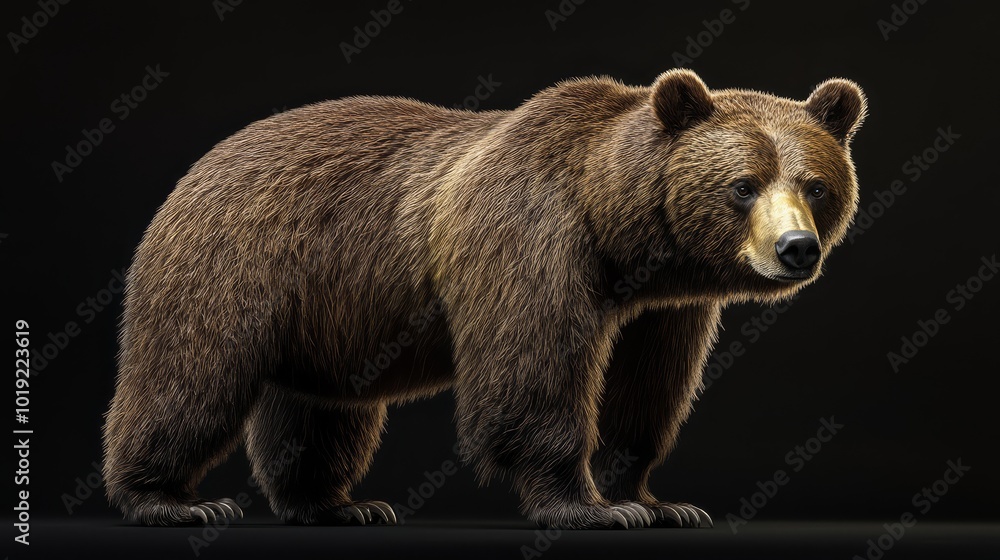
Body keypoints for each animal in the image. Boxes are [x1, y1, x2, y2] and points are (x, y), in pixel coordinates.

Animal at [102, 69, 865, 530]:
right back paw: (171, 500)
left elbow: (645, 388)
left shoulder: (663, 307)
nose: (796, 248)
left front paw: (656, 499)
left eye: (816, 185)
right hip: (233, 264)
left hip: (326, 310)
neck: (618, 232)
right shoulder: (530, 238)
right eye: (743, 185)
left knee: (317, 411)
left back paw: (337, 504)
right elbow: (533, 376)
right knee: (190, 378)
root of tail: (201, 165)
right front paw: (589, 506)